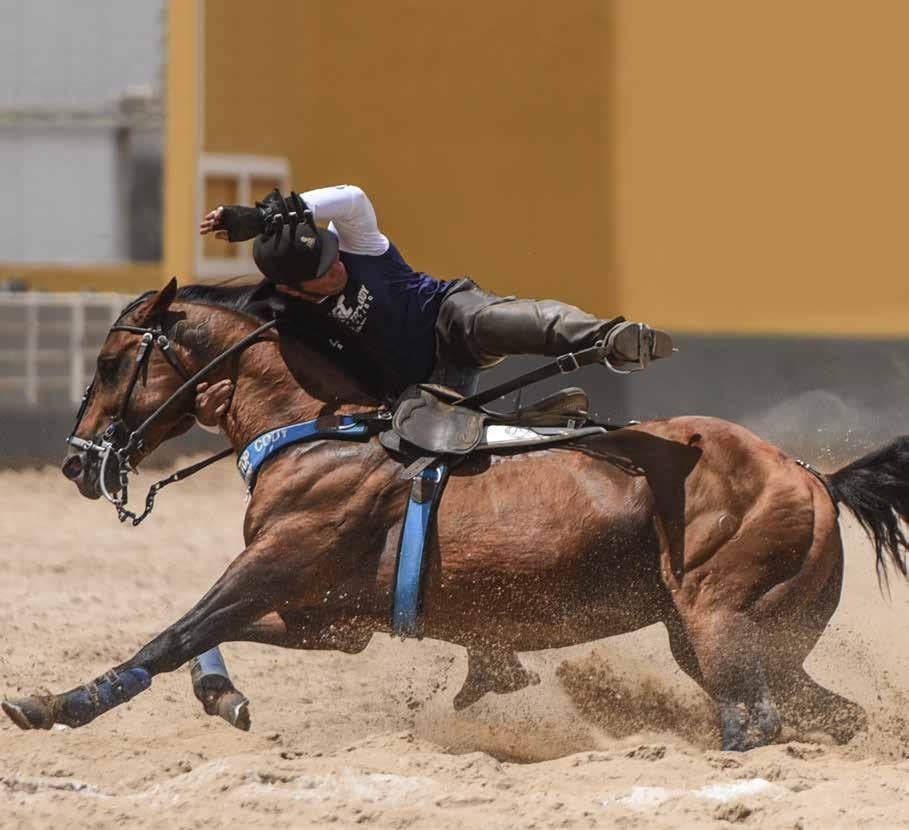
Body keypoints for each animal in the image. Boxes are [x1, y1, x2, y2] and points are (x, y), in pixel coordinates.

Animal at [3, 282, 904, 752]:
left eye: (111, 361)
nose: (77, 463)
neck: (319, 431)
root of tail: (809, 475)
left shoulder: (275, 564)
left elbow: (174, 634)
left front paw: (57, 704)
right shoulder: (325, 618)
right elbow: (201, 641)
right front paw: (223, 698)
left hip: (721, 626)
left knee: (755, 721)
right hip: (739, 640)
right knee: (830, 716)